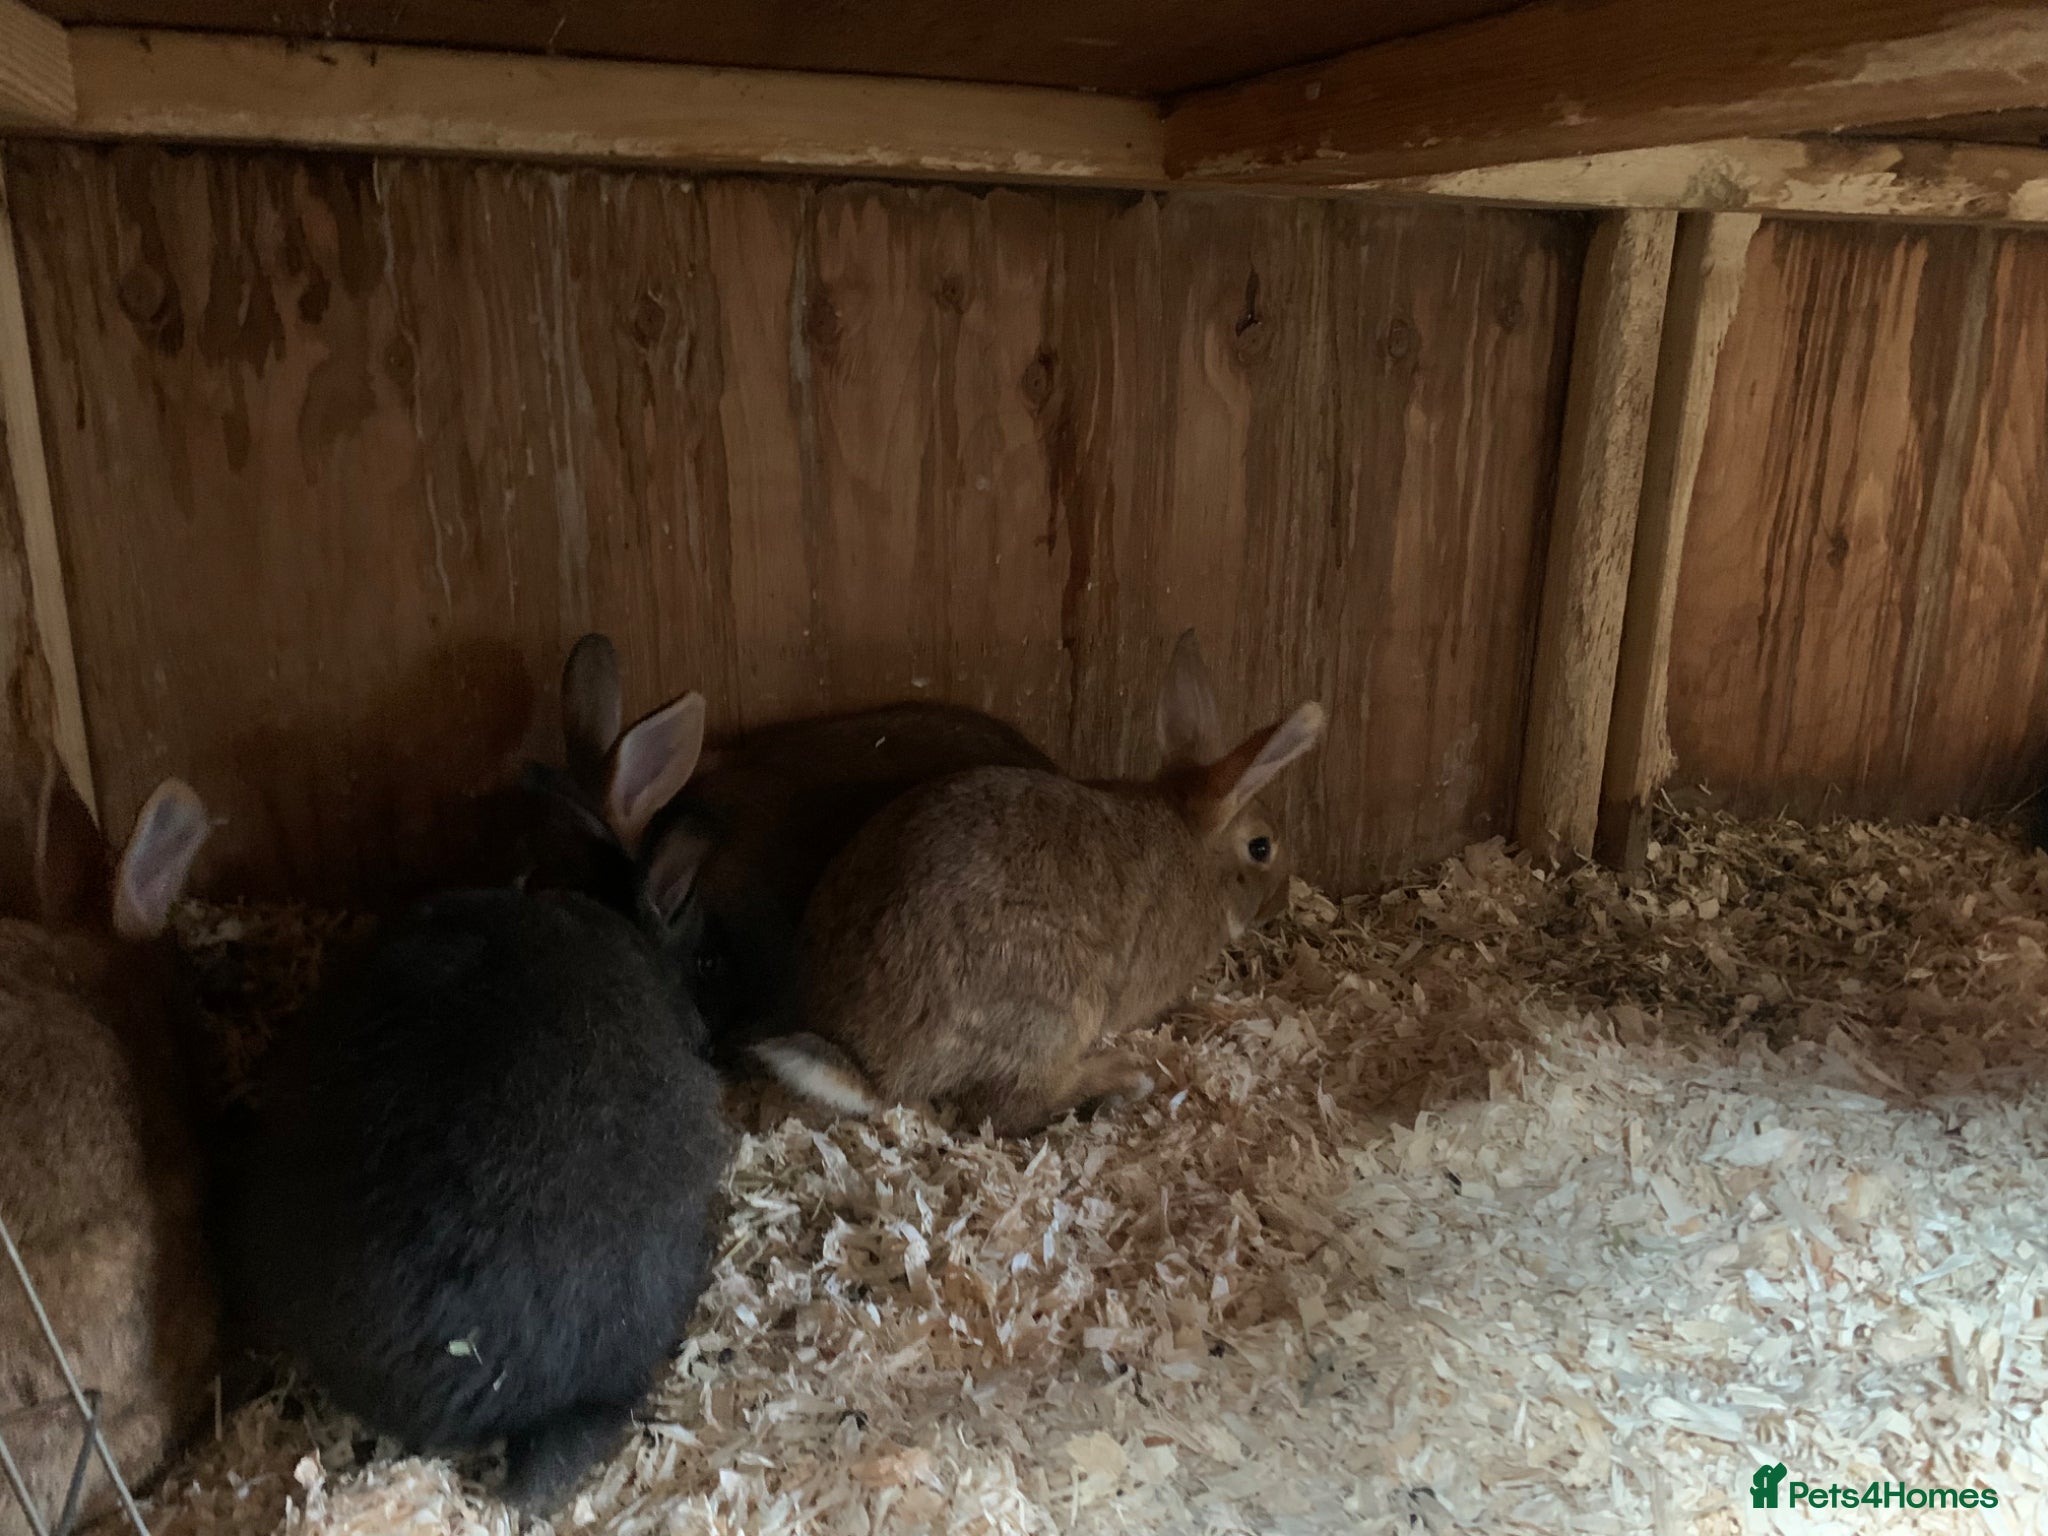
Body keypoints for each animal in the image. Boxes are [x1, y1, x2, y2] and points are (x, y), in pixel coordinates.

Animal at [757, 630, 1324, 1136]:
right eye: (1261, 847)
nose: (1279, 902)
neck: (1194, 845)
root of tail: (874, 1073)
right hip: (1059, 1009)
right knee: (1005, 1110)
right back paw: (1122, 1078)